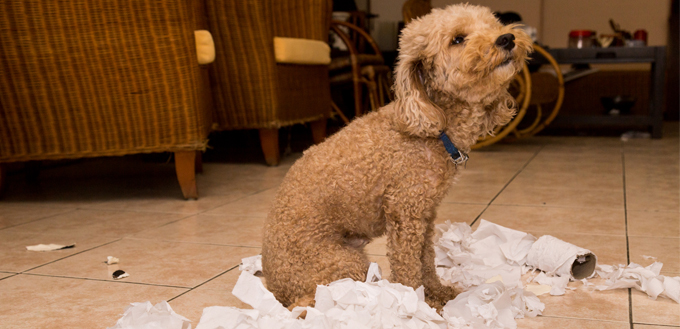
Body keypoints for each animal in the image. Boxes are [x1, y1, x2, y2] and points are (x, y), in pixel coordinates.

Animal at [260, 3, 532, 308]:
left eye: (493, 25)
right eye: (458, 39)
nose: (507, 38)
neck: (435, 125)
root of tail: (277, 288)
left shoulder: (425, 215)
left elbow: (426, 260)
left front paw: (438, 293)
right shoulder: (405, 213)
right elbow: (408, 267)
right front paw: (418, 302)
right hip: (342, 263)